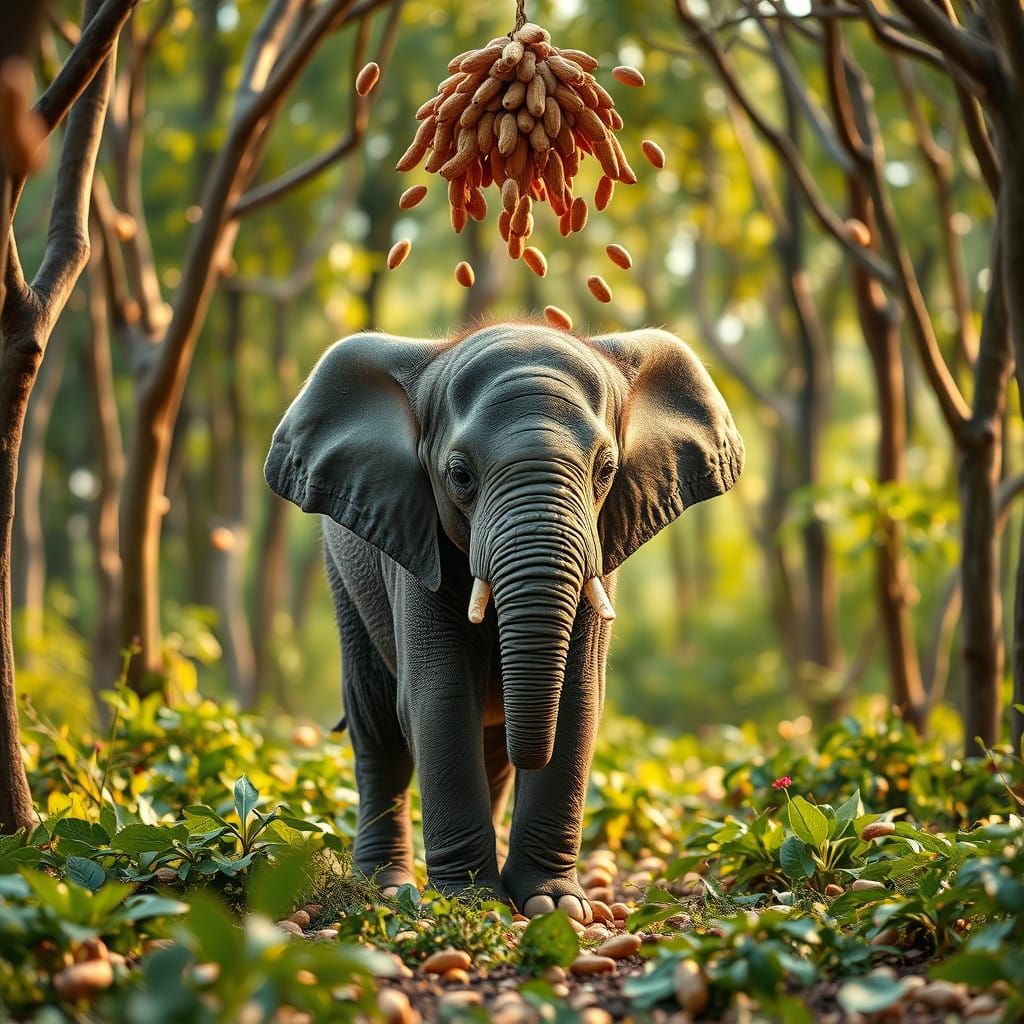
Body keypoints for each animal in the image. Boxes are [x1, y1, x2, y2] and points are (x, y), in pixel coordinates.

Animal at [264, 321, 743, 921]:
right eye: (459, 475)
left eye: (606, 470)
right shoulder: (417, 541)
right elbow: (439, 695)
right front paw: (472, 904)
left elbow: (579, 695)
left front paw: (552, 905)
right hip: (343, 576)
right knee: (377, 723)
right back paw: (385, 888)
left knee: (490, 747)